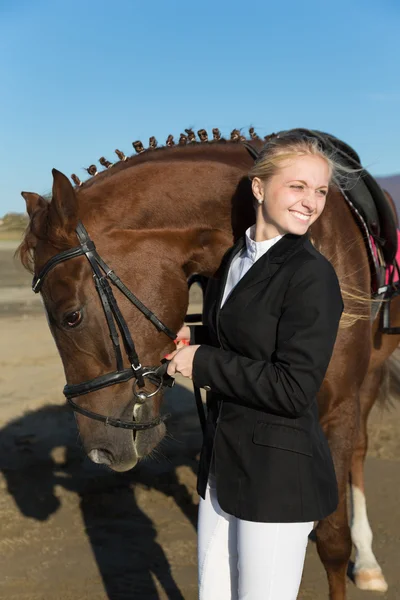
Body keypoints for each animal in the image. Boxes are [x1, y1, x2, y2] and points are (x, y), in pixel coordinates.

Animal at [18, 127, 400, 600]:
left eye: (71, 316)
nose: (99, 451)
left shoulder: (340, 404)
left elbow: (333, 542)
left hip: (371, 375)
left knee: (359, 452)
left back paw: (367, 562)